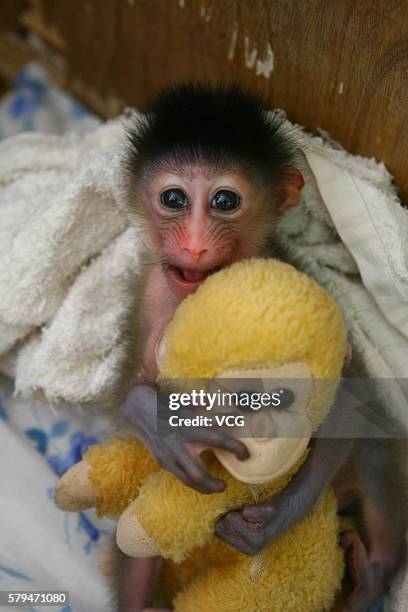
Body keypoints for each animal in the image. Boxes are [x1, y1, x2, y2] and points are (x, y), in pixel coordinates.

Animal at [114, 83, 402, 608]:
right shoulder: (150, 296)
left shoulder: (305, 284)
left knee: (373, 445)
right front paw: (161, 424)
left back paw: (373, 576)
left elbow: (348, 400)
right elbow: (124, 398)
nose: (194, 245)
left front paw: (275, 519)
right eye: (174, 198)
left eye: (225, 200)